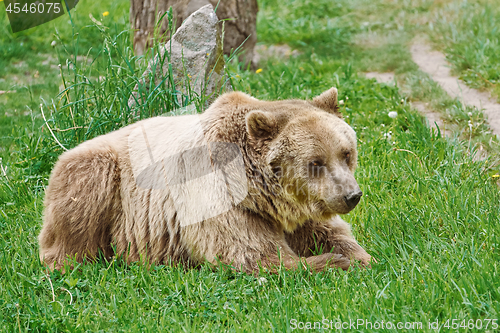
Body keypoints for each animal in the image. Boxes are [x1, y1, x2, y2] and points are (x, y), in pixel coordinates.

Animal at [39, 87, 374, 272]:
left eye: (346, 153)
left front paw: (359, 257)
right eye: (315, 162)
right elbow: (254, 255)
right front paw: (334, 263)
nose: (351, 195)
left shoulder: (302, 210)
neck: (261, 194)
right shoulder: (219, 199)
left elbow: (329, 232)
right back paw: (71, 261)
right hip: (99, 174)